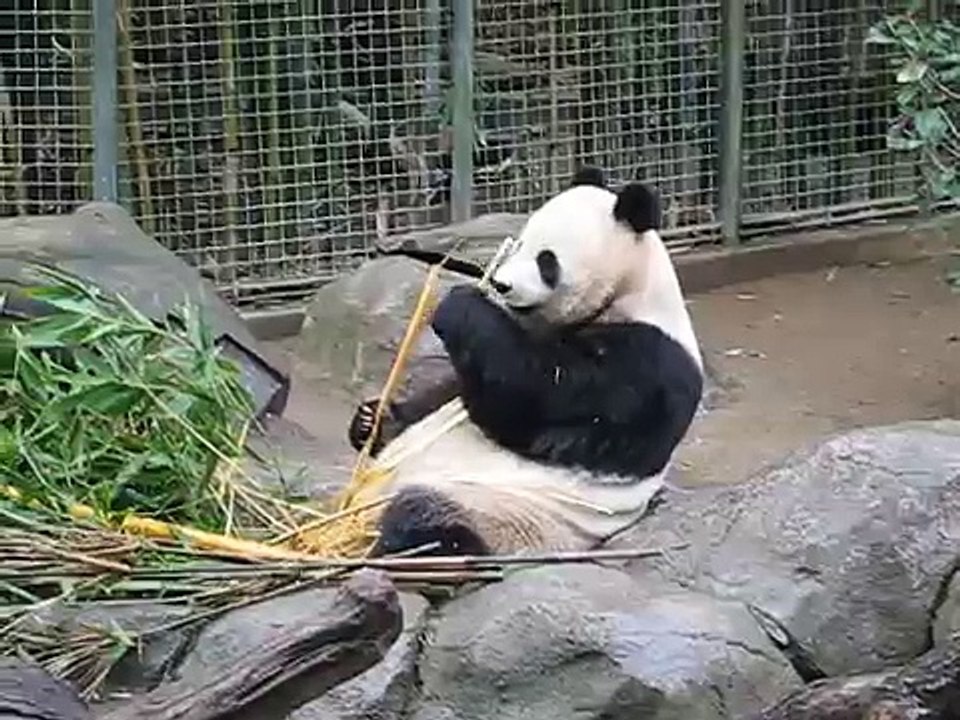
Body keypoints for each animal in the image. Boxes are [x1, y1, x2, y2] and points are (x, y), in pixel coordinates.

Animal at [347, 166, 704, 557]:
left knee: (426, 520)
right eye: (518, 244)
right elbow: (452, 390)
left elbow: (534, 402)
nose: (501, 285)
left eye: (546, 260)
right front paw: (372, 419)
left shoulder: (647, 364)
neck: (630, 291)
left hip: (503, 515)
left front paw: (460, 306)